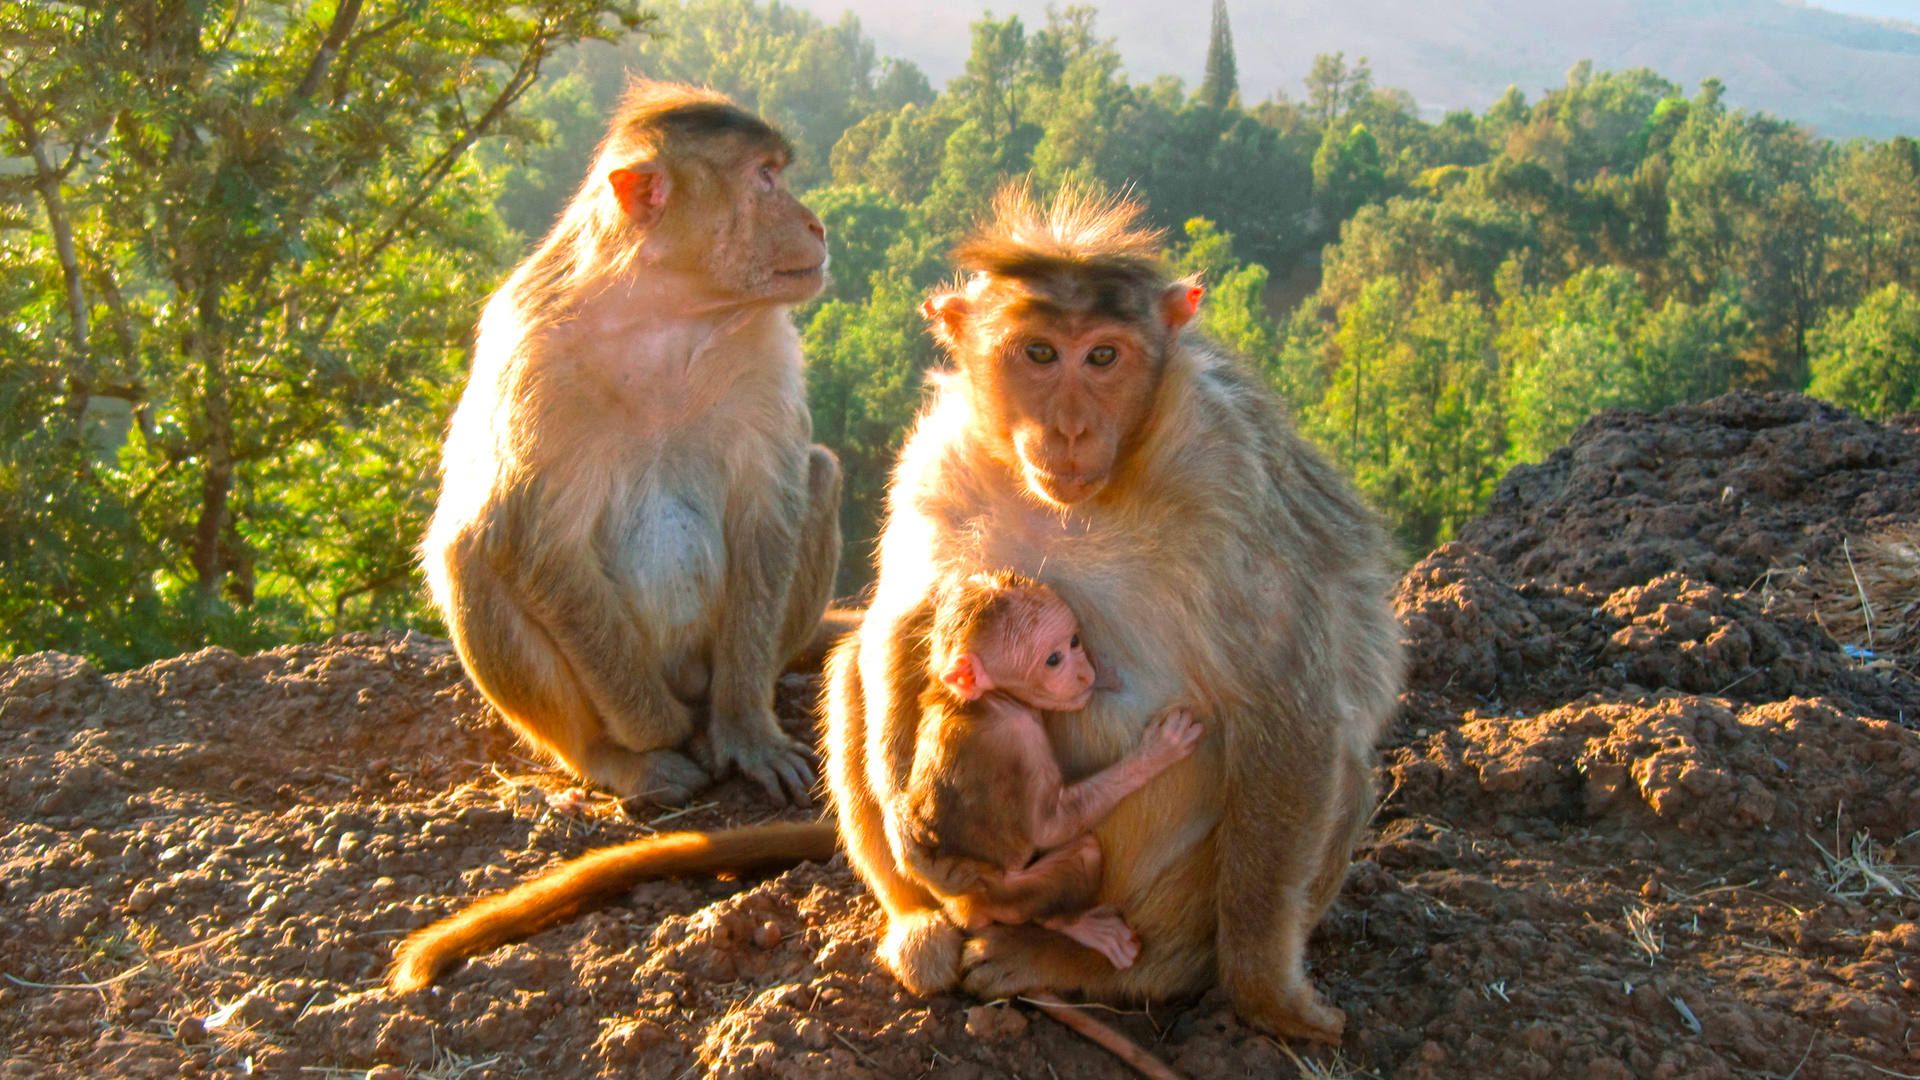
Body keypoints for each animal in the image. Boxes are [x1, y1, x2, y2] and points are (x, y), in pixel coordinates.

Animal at [421, 80, 843, 807]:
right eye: (765, 178)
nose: (815, 224)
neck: (667, 313)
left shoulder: (768, 346)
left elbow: (770, 508)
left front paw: (744, 731)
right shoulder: (534, 351)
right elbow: (534, 540)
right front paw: (656, 732)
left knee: (817, 476)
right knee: (471, 545)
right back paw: (616, 756)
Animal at [895, 570, 1205, 970]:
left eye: (1074, 641)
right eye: (1053, 660)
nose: (1084, 673)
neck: (989, 701)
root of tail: (965, 908)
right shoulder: (1019, 743)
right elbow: (1049, 827)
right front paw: (1156, 753)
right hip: (1007, 897)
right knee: (1081, 855)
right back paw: (1075, 924)